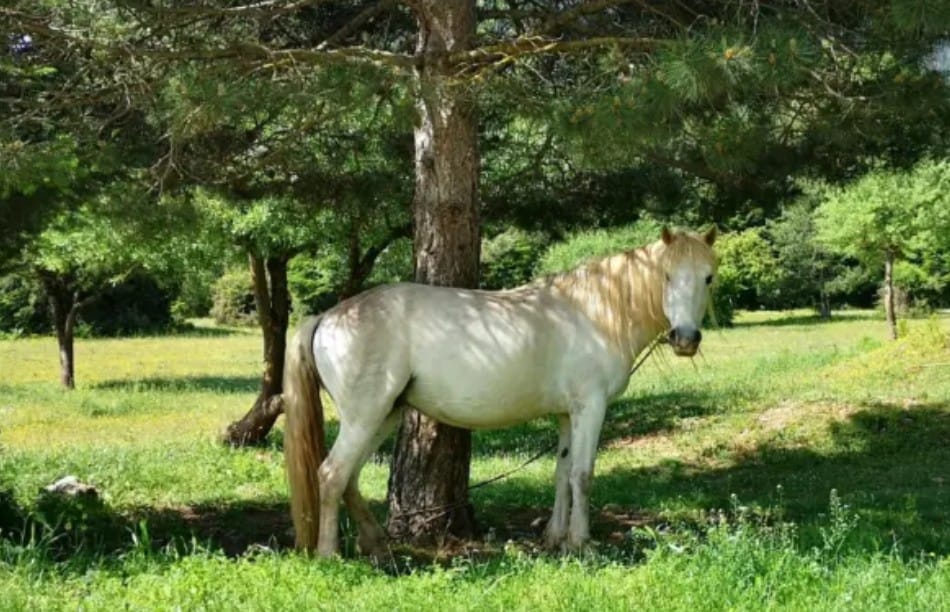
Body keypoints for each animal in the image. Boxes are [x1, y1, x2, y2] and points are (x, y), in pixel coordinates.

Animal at [282, 226, 718, 557]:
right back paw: (329, 554)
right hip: (365, 416)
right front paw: (581, 544)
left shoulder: (567, 415)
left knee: (350, 479)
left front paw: (555, 539)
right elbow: (582, 475)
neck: (594, 313)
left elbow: (562, 473)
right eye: (666, 275)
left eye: (708, 277)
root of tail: (328, 316)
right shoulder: (590, 409)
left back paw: (376, 546)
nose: (685, 338)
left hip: (384, 415)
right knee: (332, 474)